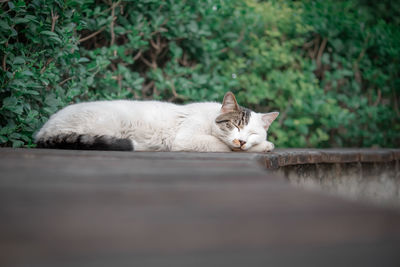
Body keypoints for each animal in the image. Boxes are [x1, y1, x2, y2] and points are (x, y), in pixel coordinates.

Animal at [35, 92, 278, 153]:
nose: (242, 140)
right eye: (236, 126)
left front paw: (261, 144)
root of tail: (43, 131)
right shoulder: (185, 139)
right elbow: (224, 147)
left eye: (252, 133)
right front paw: (263, 146)